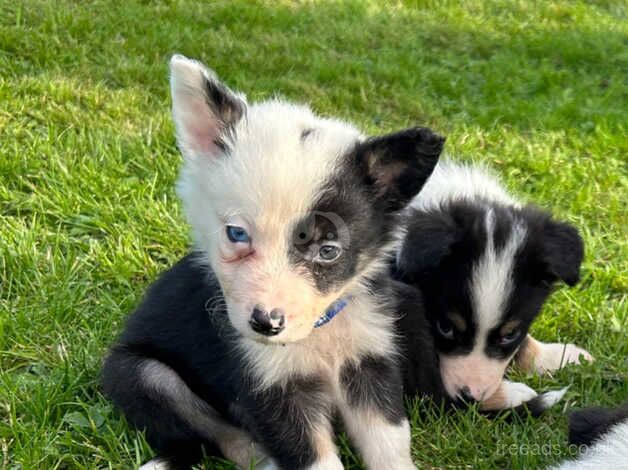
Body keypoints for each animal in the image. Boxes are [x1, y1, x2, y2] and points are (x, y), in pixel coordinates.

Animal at [102, 56, 446, 470]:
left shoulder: (369, 360)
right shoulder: (271, 386)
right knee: (222, 436)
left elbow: (390, 444)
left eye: (327, 250)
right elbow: (313, 458)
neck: (318, 334)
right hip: (141, 373)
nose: (266, 324)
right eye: (236, 233)